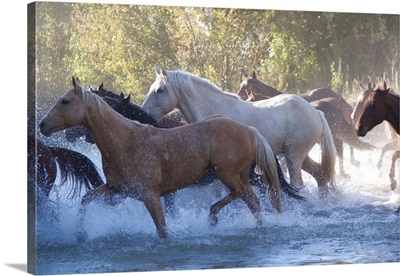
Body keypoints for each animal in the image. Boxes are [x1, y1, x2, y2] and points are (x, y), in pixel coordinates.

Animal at [37, 76, 282, 238]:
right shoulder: (116, 191)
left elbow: (163, 230)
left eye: (65, 101)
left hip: (229, 175)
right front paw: (80, 233)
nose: (42, 125)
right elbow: (86, 199)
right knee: (251, 201)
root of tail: (248, 129)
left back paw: (217, 218)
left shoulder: (151, 195)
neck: (124, 140)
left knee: (248, 198)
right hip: (237, 177)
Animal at [142, 66, 336, 194]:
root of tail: (316, 112)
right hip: (298, 156)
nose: (144, 112)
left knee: (299, 183)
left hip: (293, 157)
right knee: (320, 176)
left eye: (159, 90)